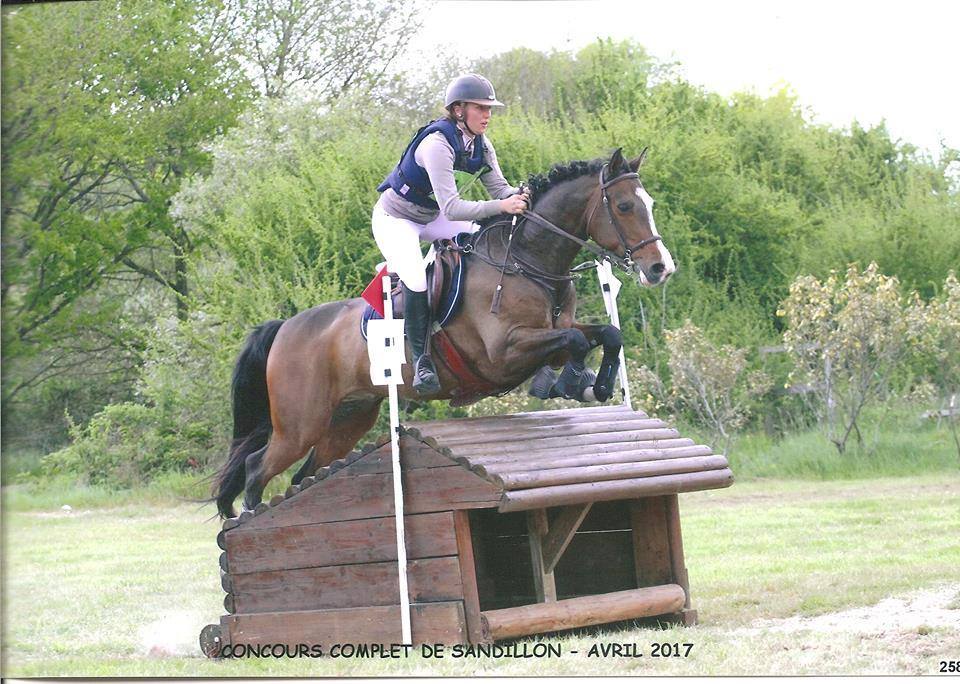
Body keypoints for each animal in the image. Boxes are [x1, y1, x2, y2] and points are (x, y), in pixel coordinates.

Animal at [214, 147, 676, 516]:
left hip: (347, 421)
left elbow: (603, 335)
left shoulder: (549, 335)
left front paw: (592, 384)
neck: (527, 262)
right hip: (300, 425)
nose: (660, 268)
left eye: (648, 202)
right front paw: (571, 382)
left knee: (305, 477)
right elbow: (577, 341)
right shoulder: (503, 353)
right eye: (623, 206)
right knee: (256, 470)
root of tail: (284, 329)